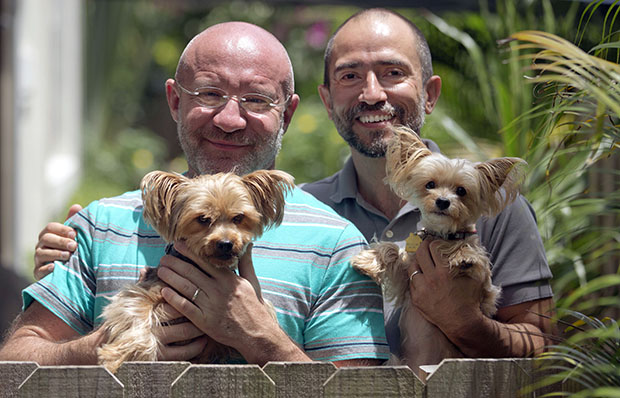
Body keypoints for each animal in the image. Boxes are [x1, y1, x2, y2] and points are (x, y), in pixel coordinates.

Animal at [95, 169, 294, 374]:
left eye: (238, 218)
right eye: (203, 219)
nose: (226, 243)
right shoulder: (145, 290)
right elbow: (136, 311)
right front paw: (118, 357)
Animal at [352, 126, 524, 378]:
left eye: (461, 191)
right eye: (430, 185)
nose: (443, 201)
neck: (441, 237)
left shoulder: (487, 294)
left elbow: (474, 255)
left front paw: (464, 257)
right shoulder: (406, 281)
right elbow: (392, 249)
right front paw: (367, 260)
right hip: (398, 361)